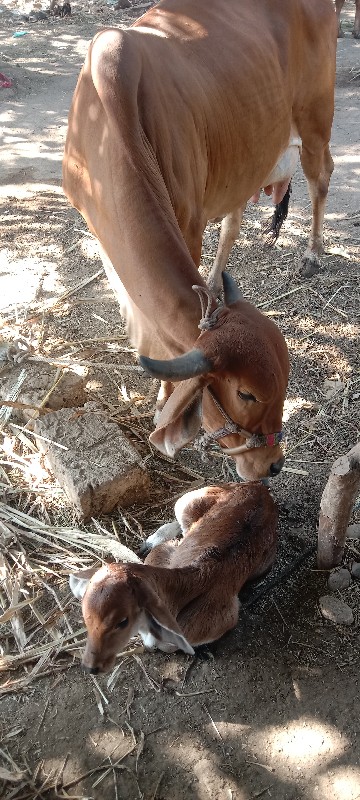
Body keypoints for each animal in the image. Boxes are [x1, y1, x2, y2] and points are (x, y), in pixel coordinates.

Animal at [62, 0, 338, 482]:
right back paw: (215, 282)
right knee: (234, 221)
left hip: (316, 116)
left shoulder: (187, 223)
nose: (272, 465)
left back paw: (313, 253)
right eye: (246, 394)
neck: (107, 126)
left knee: (320, 176)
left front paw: (163, 395)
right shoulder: (101, 236)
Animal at [70, 484, 278, 672]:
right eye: (85, 616)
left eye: (122, 621)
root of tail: (259, 488)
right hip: (190, 501)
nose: (90, 667)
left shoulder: (224, 619)